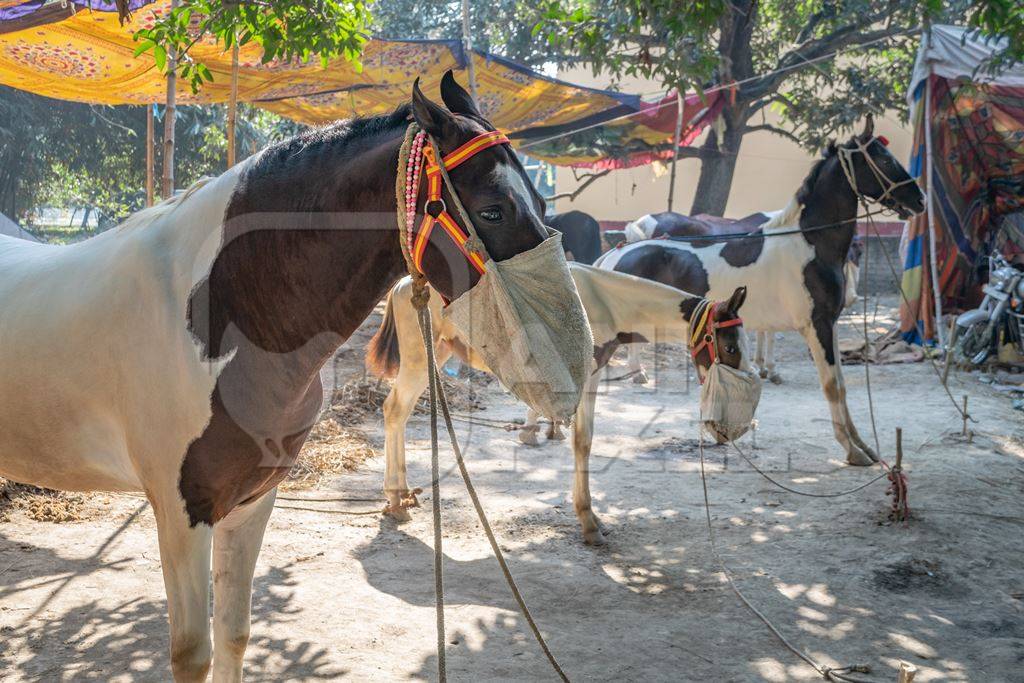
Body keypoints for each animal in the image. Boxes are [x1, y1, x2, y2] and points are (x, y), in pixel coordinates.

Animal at [0, 72, 577, 679]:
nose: (565, 363)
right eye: (491, 210)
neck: (221, 311)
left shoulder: (252, 500)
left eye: (541, 201)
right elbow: (193, 652)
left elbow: (234, 632)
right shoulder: (183, 512)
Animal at [368, 264, 753, 548]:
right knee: (394, 410)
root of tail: (404, 284)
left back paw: (401, 496)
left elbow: (583, 440)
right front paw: (588, 523)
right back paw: (395, 500)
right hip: (418, 358)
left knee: (400, 413)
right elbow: (581, 442)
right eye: (731, 347)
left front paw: (593, 517)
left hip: (439, 352)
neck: (605, 301)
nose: (734, 428)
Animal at [598, 118, 925, 471]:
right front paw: (852, 451)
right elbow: (832, 386)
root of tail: (613, 255)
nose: (920, 199)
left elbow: (840, 383)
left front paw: (863, 446)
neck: (810, 243)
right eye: (884, 159)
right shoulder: (817, 326)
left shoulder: (830, 325)